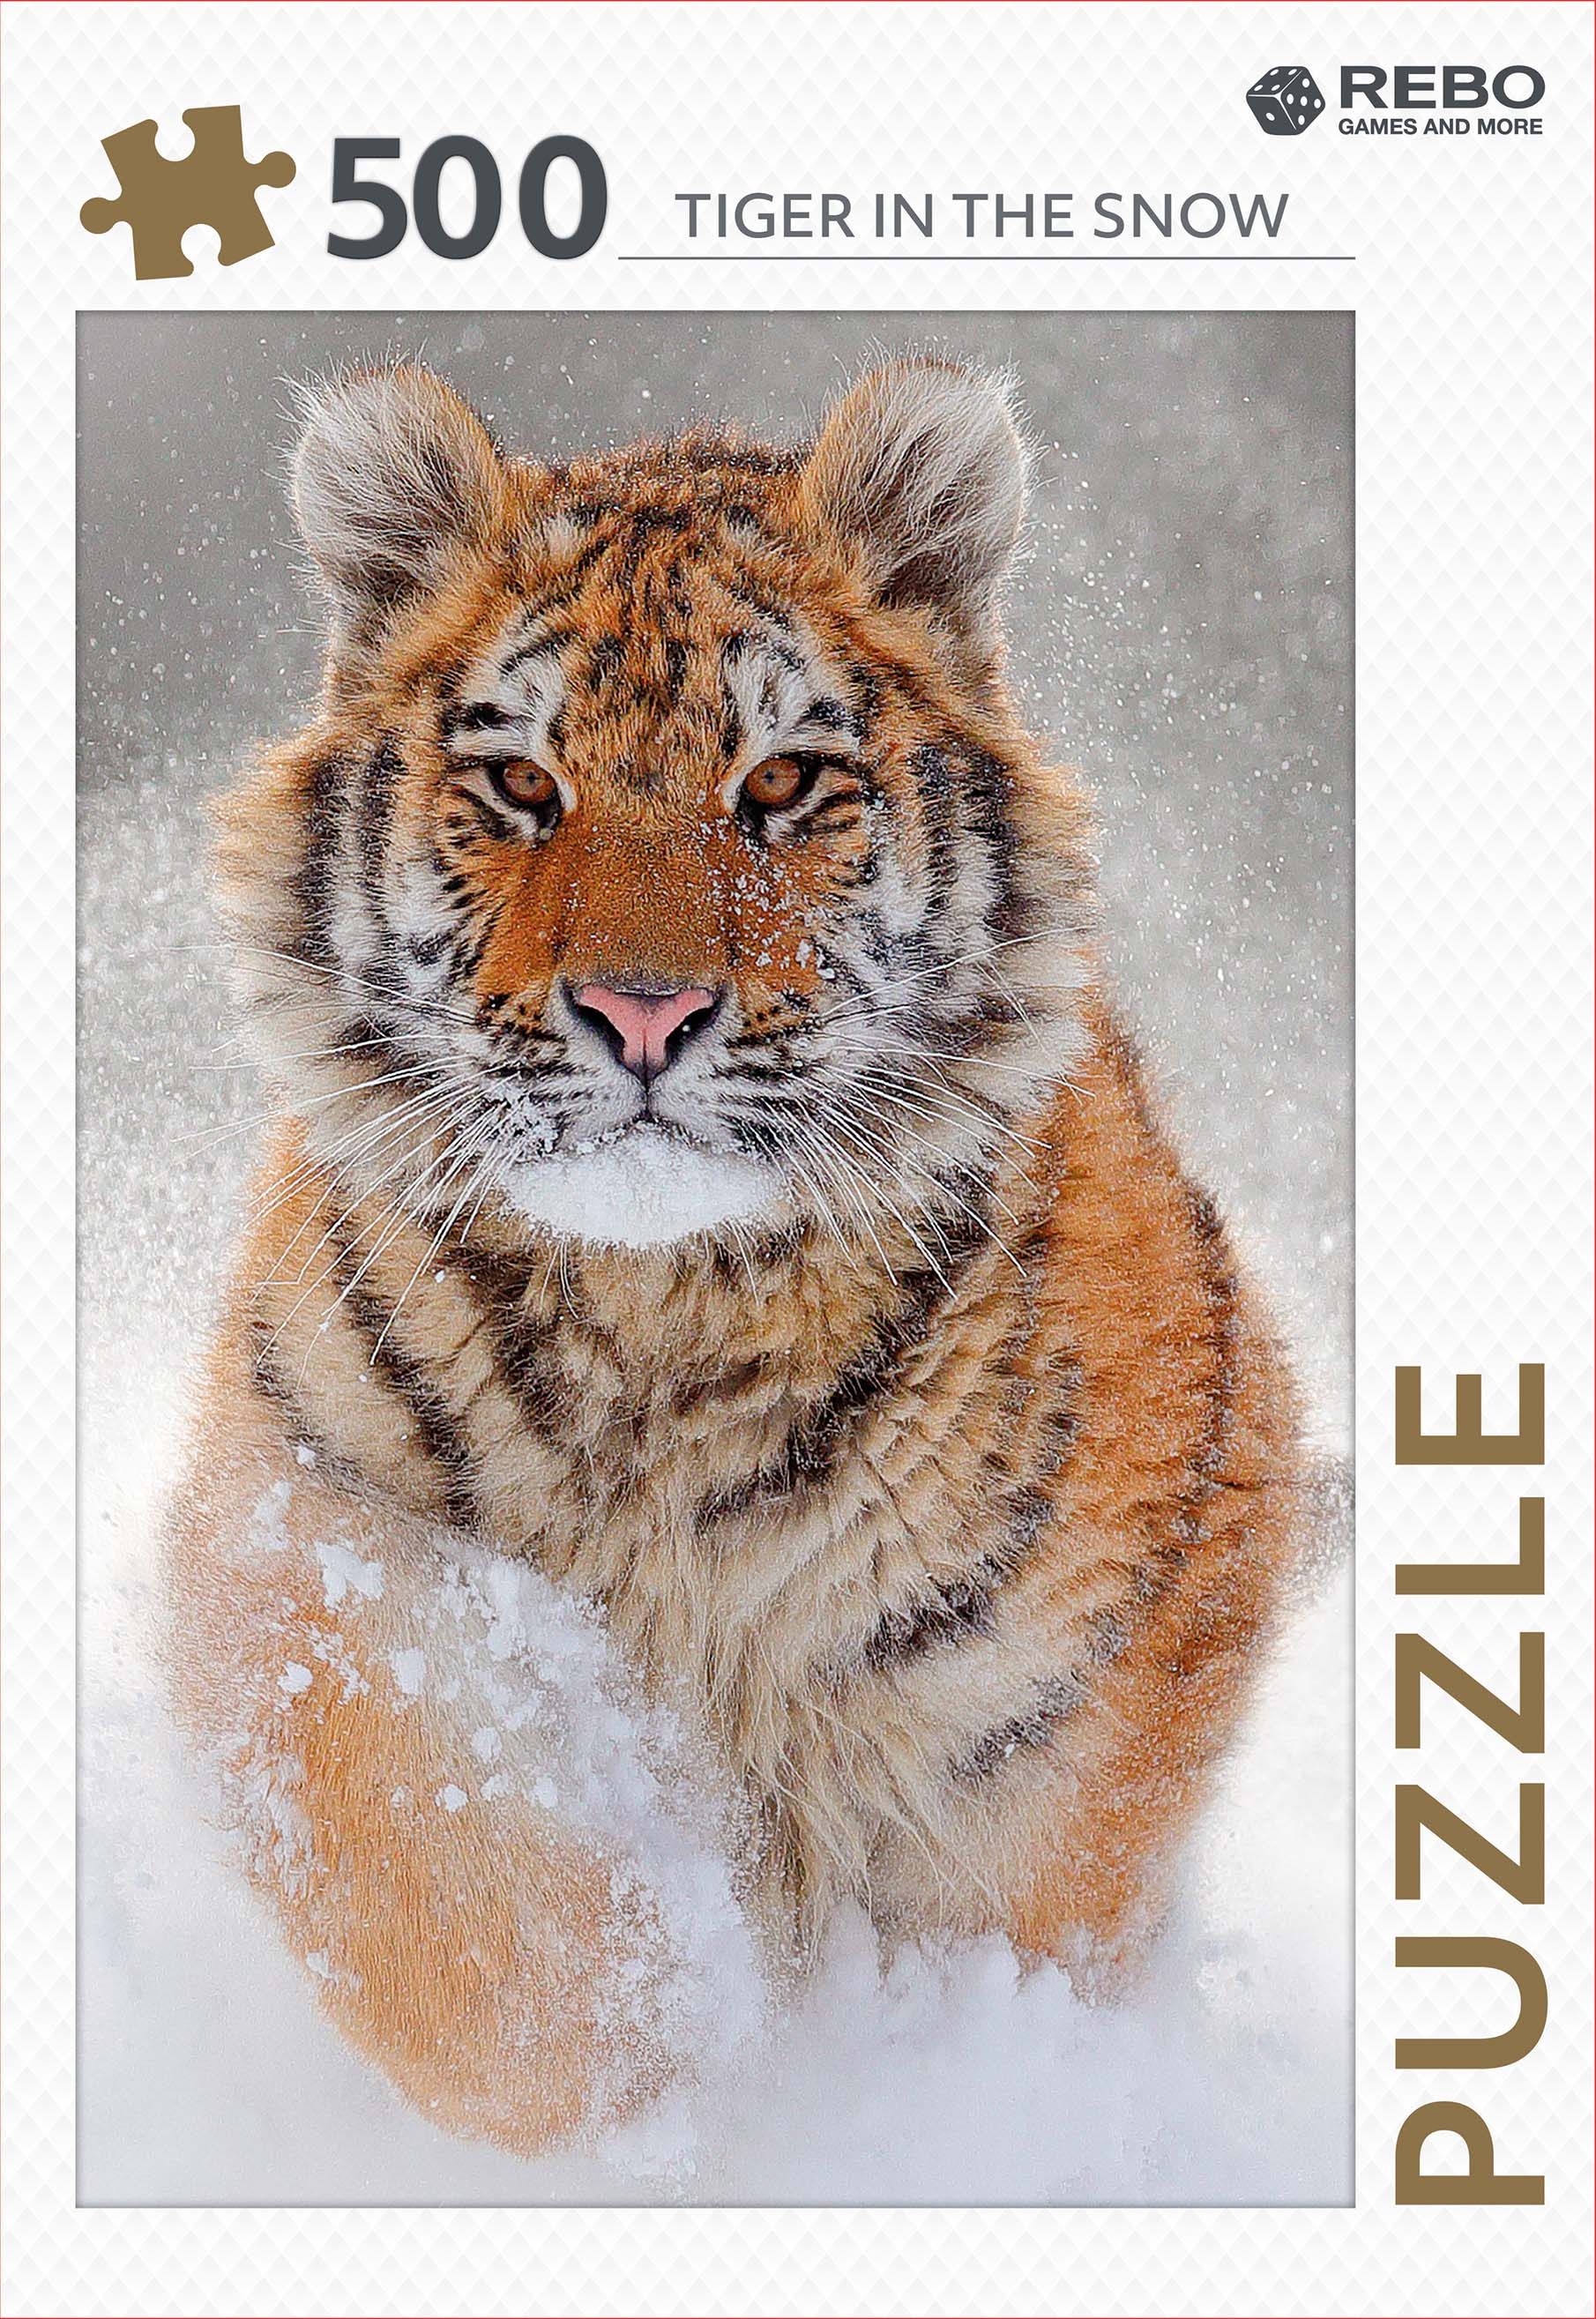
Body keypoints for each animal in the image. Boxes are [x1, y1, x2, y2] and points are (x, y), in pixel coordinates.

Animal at [167, 355, 1301, 2157]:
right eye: (522, 785)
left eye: (777, 785)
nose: (643, 1013)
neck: (665, 1316)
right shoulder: (298, 1527)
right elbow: (462, 1907)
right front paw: (660, 2089)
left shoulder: (1069, 1698)